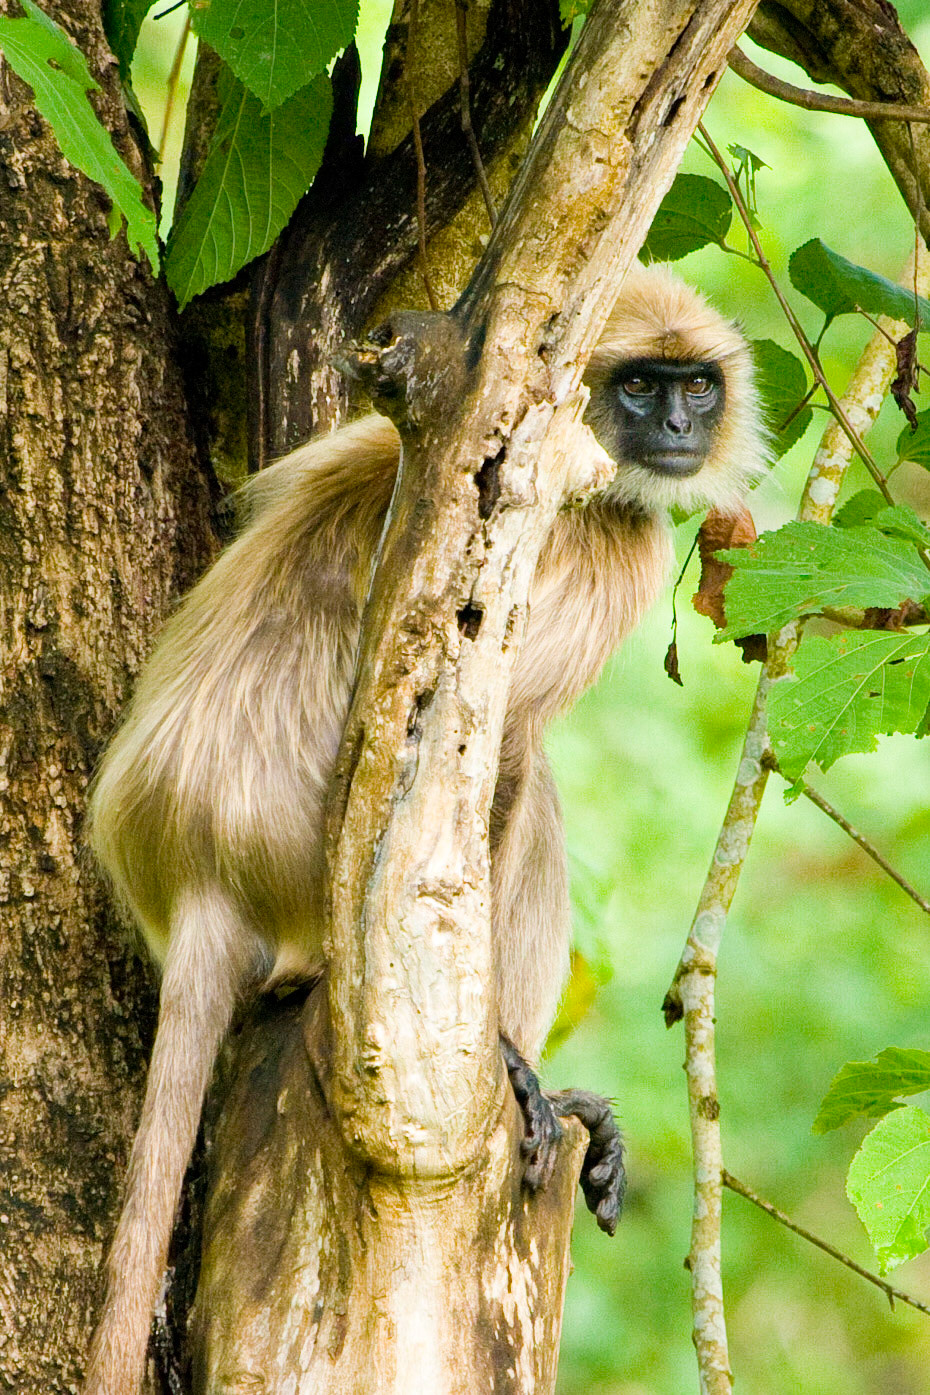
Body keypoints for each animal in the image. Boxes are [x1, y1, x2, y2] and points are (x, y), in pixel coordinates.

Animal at [82, 262, 766, 1395]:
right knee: (518, 778)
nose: (676, 425)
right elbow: (497, 734)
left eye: (696, 387)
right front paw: (508, 1062)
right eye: (639, 386)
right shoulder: (593, 540)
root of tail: (198, 865)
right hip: (309, 888)